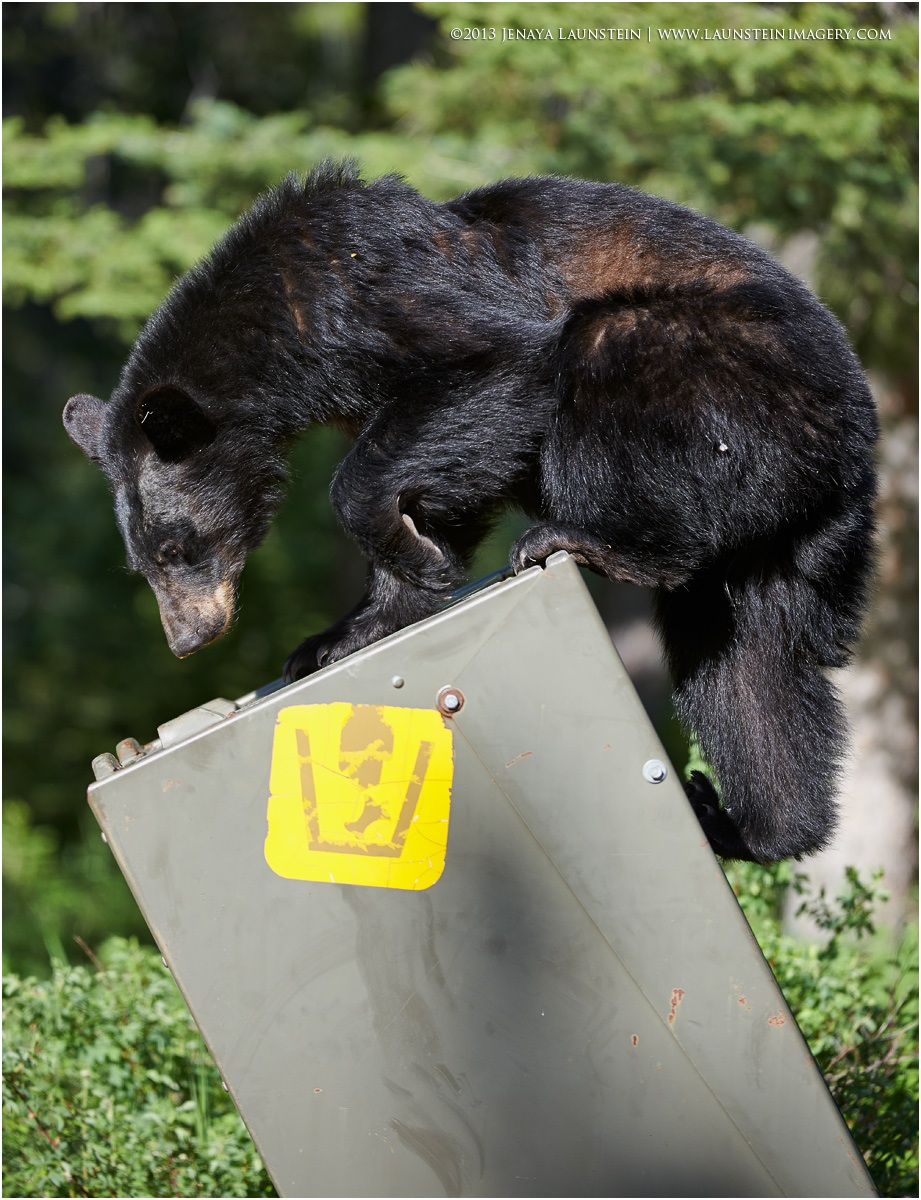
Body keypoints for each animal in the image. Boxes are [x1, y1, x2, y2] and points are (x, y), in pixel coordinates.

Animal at [63, 160, 878, 863]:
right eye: (143, 563)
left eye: (177, 547)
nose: (187, 638)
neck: (282, 325)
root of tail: (853, 448)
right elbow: (457, 476)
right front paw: (350, 628)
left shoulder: (382, 292)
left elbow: (494, 361)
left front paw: (409, 558)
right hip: (773, 544)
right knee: (744, 669)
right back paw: (755, 823)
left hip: (736, 382)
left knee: (607, 346)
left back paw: (598, 542)